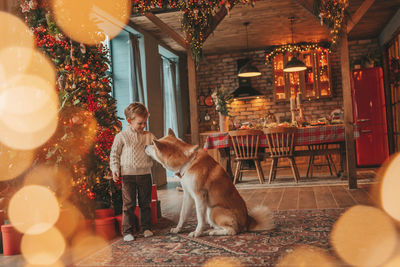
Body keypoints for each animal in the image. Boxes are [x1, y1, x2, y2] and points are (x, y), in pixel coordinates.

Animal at [145, 131, 276, 238]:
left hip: (213, 210)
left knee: (232, 231)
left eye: (153, 144)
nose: (145, 146)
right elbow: (183, 214)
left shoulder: (199, 196)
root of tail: (247, 221)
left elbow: (200, 218)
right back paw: (211, 230)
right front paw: (178, 229)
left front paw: (197, 233)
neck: (188, 162)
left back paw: (213, 232)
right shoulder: (188, 195)